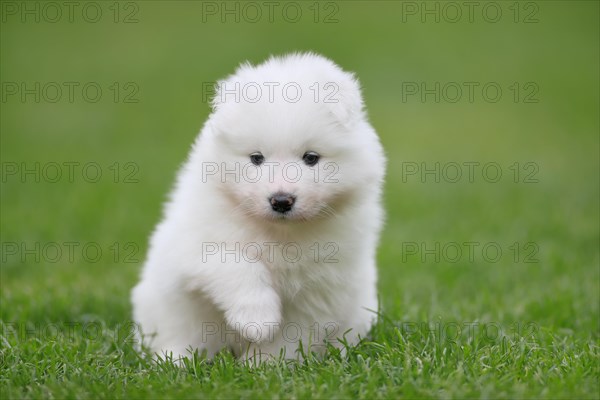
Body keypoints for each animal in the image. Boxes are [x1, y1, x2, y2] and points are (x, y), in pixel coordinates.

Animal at [130, 53, 384, 362]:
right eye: (256, 158)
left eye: (311, 157)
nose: (281, 200)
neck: (279, 233)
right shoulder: (190, 246)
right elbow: (234, 261)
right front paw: (257, 318)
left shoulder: (316, 292)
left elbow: (288, 337)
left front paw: (262, 365)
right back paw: (175, 361)